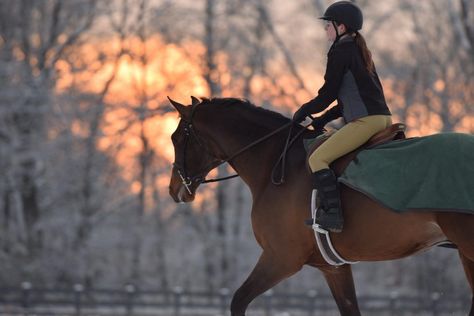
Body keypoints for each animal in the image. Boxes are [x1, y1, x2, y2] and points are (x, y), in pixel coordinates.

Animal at [168, 97, 474, 316]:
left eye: (176, 138)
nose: (174, 190)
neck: (276, 166)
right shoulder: (333, 268)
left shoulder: (280, 258)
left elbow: (238, 302)